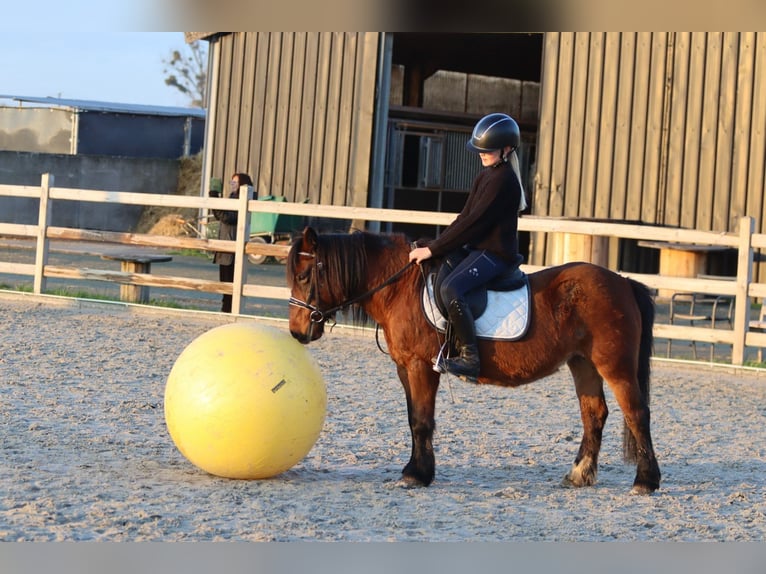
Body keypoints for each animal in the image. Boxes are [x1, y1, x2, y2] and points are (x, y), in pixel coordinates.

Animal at [287, 227, 661, 494]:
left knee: (636, 414)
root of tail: (622, 282)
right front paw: (415, 470)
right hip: (583, 363)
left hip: (615, 365)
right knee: (594, 414)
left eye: (304, 276)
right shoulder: (404, 367)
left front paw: (417, 475)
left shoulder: (421, 366)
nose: (296, 332)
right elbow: (412, 419)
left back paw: (645, 481)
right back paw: (579, 474)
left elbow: (421, 421)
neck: (399, 288)